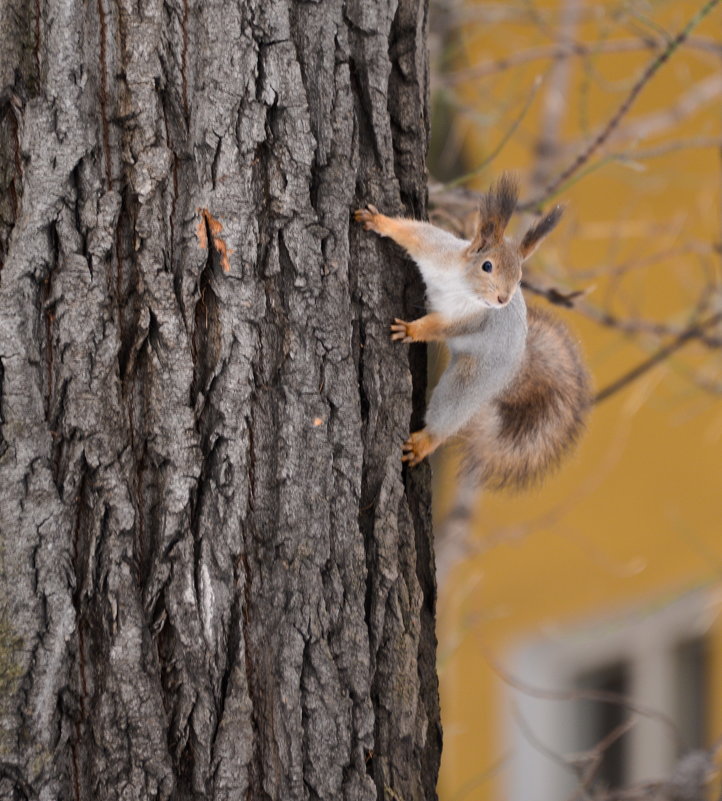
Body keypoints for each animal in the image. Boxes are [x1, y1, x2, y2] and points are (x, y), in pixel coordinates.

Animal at [352, 172, 588, 490]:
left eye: (519, 277)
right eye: (487, 266)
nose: (503, 299)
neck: (462, 286)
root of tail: (515, 370)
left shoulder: (473, 320)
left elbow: (439, 327)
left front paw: (412, 329)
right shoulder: (438, 251)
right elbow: (413, 233)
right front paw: (378, 222)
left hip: (473, 380)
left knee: (451, 410)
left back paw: (426, 441)